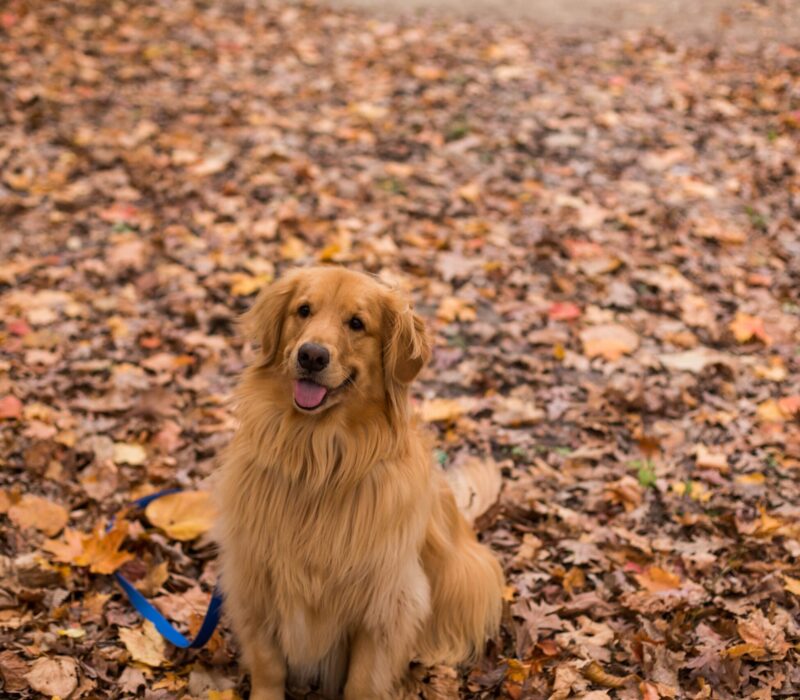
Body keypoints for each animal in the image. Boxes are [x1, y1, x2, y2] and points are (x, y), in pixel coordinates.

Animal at [216, 266, 504, 696]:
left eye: (357, 323)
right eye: (304, 310)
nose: (311, 355)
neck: (317, 461)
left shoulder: (385, 603)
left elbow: (364, 681)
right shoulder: (256, 580)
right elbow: (268, 665)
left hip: (467, 574)